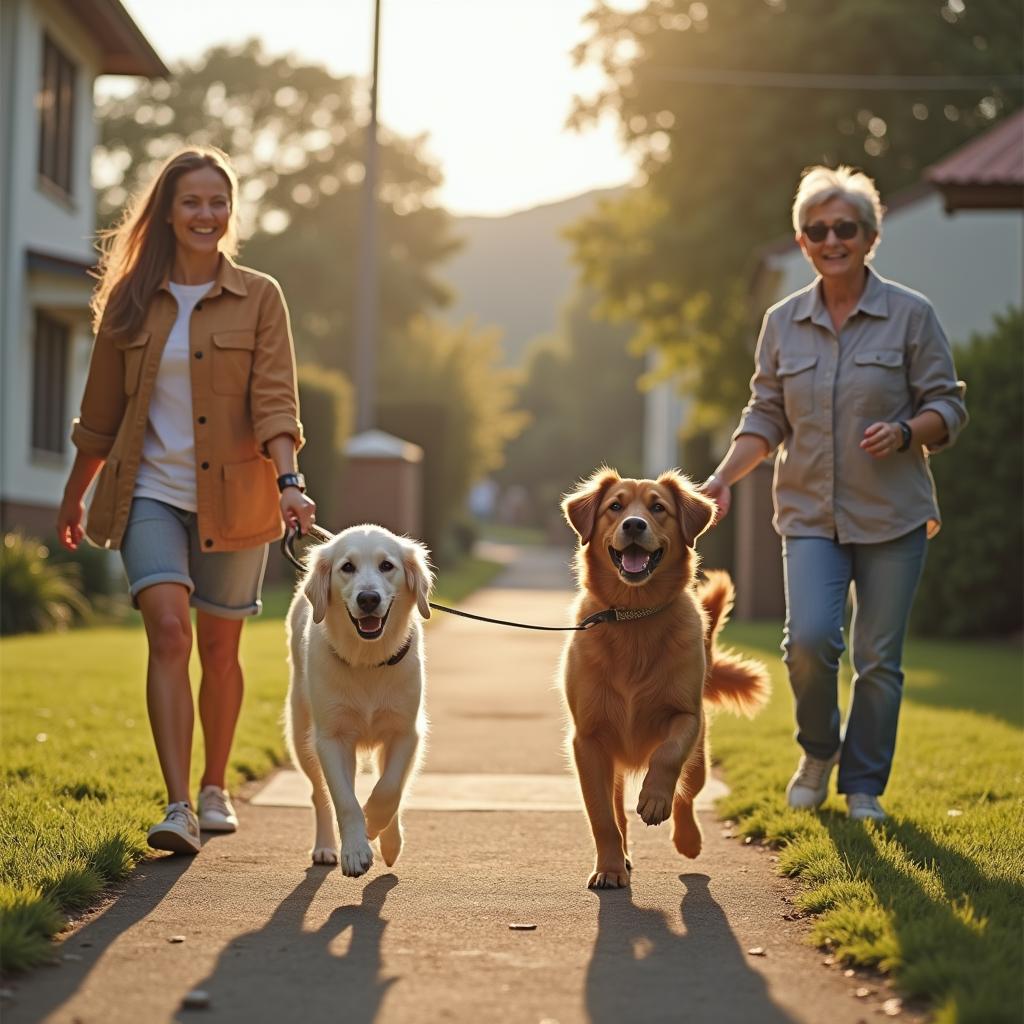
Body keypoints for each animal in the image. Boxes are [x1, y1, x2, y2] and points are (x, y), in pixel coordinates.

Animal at [284, 524, 432, 876]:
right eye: (347, 567)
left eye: (386, 566)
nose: (368, 599)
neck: (368, 660)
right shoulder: (331, 737)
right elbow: (345, 801)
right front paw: (355, 850)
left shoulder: (406, 732)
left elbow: (390, 789)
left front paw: (379, 830)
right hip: (301, 735)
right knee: (320, 794)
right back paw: (326, 847)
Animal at [561, 468, 770, 884]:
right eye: (615, 506)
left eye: (658, 508)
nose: (634, 524)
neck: (633, 616)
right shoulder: (588, 740)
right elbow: (602, 817)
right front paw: (610, 868)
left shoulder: (686, 715)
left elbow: (669, 757)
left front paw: (656, 800)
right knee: (617, 810)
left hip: (701, 756)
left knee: (688, 791)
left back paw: (688, 839)